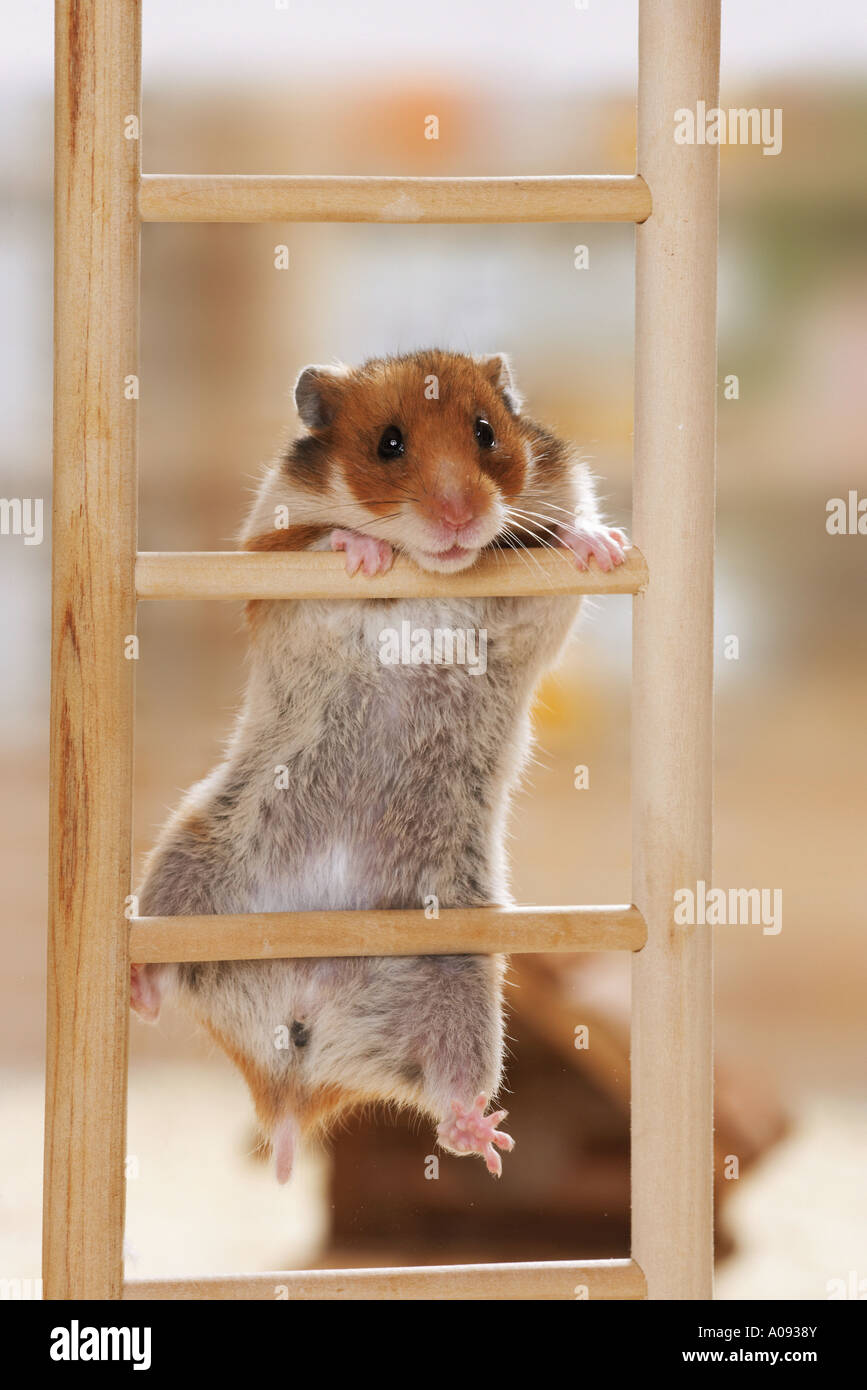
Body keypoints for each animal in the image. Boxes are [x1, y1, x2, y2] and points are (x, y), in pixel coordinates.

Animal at [131, 349, 629, 1182]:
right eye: (388, 444)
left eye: (486, 432)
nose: (459, 518)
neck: (435, 572)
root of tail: (295, 1071)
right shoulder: (266, 566)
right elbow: (315, 542)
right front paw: (361, 551)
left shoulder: (532, 615)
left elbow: (557, 550)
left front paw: (600, 544)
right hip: (189, 863)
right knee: (164, 968)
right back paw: (137, 990)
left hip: (460, 983)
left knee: (444, 1095)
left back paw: (486, 1140)